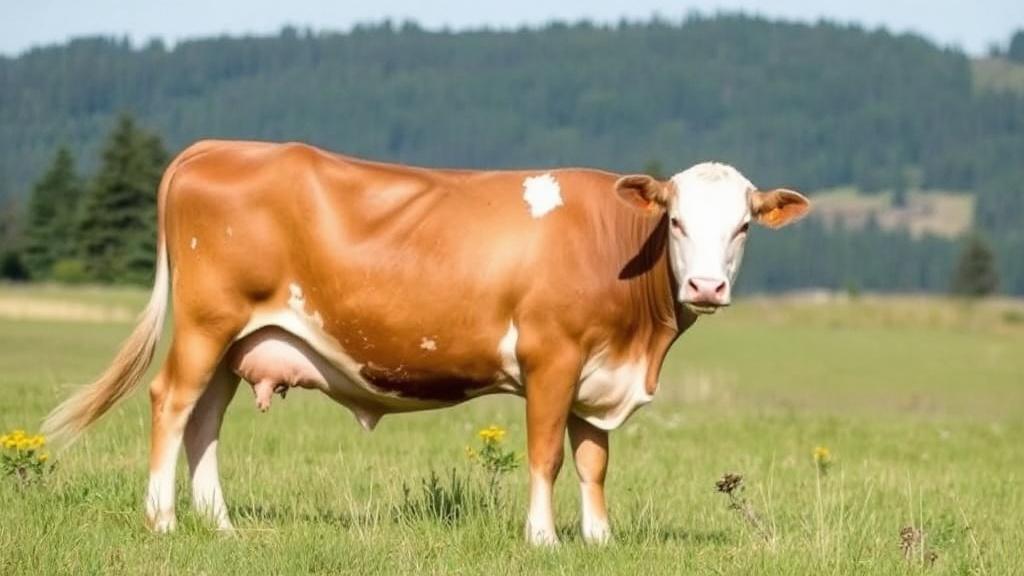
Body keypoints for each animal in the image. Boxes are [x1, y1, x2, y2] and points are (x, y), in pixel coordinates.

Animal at [43, 140, 810, 545]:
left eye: (742, 226)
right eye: (676, 221)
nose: (707, 286)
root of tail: (219, 147)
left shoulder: (600, 375)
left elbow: (594, 463)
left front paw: (600, 540)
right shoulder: (551, 357)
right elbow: (546, 456)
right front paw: (543, 540)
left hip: (240, 340)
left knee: (205, 419)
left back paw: (222, 525)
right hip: (208, 322)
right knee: (171, 402)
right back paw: (164, 521)